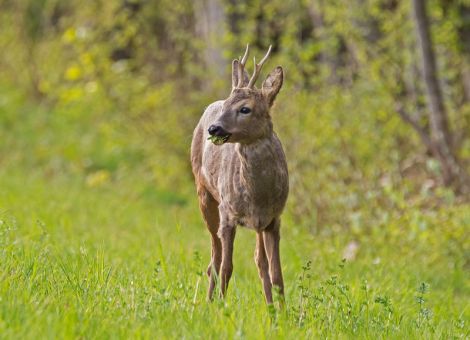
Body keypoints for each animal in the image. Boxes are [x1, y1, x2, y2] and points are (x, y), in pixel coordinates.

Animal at [190, 43, 286, 304]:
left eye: (245, 109)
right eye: (226, 107)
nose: (214, 128)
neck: (258, 196)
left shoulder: (273, 219)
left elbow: (276, 274)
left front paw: (283, 312)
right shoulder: (228, 213)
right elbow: (227, 266)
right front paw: (221, 307)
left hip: (258, 225)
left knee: (259, 261)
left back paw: (268, 306)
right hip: (204, 194)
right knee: (214, 260)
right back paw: (207, 301)